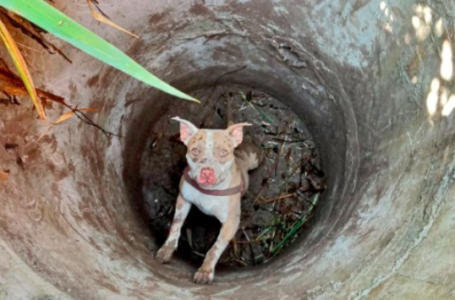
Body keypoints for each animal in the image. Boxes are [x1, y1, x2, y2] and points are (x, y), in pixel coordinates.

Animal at [157, 97, 264, 284]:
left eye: (223, 152)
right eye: (195, 151)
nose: (207, 172)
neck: (208, 191)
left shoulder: (230, 222)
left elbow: (215, 248)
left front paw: (205, 271)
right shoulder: (183, 199)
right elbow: (176, 225)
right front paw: (166, 249)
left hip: (254, 159)